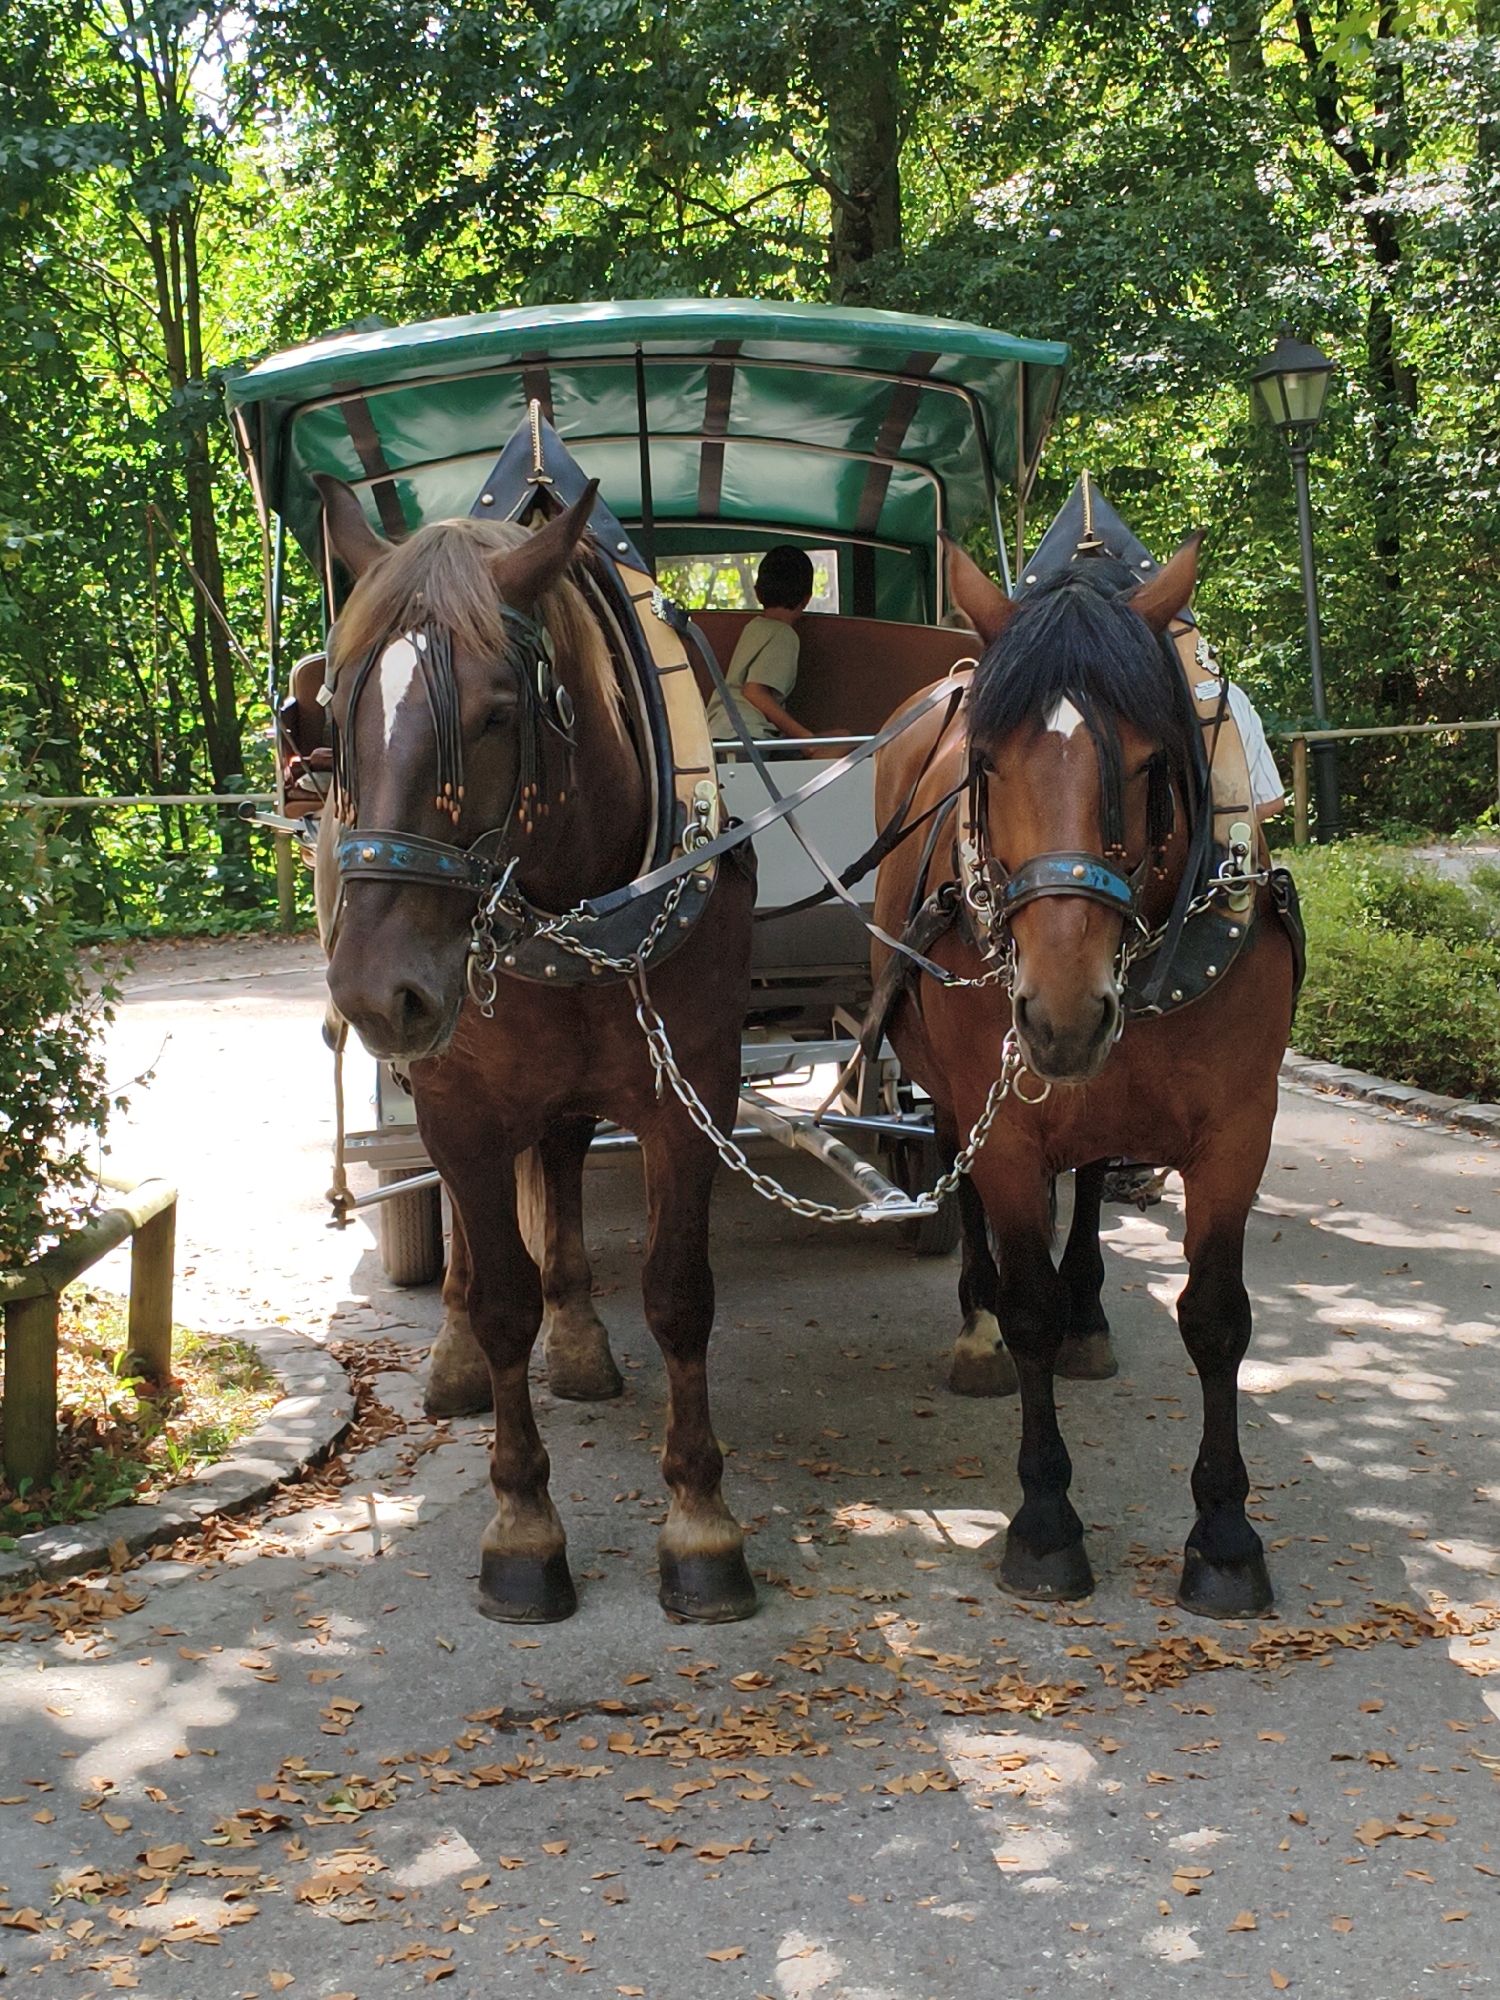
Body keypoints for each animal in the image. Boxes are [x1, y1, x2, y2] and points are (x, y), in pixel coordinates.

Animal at [312, 477, 758, 1625]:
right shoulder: (460, 1105)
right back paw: (457, 1356)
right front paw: (522, 1527)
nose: (377, 990)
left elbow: (681, 1295)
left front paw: (700, 1523)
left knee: (555, 1162)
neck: (568, 900)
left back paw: (581, 1340)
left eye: (499, 712)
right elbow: (501, 1294)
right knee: (475, 1237)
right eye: (329, 720)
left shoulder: (691, 1090)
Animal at [871, 535, 1297, 1617]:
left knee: (1098, 1169)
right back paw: (976, 1322)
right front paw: (1045, 1520)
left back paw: (1092, 1311)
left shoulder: (1240, 1125)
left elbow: (1216, 1318)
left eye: (1152, 767)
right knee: (956, 1164)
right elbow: (1028, 1303)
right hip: (954, 1082)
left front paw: (1224, 1535)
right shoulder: (1011, 1131)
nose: (1061, 1016)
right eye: (983, 762)